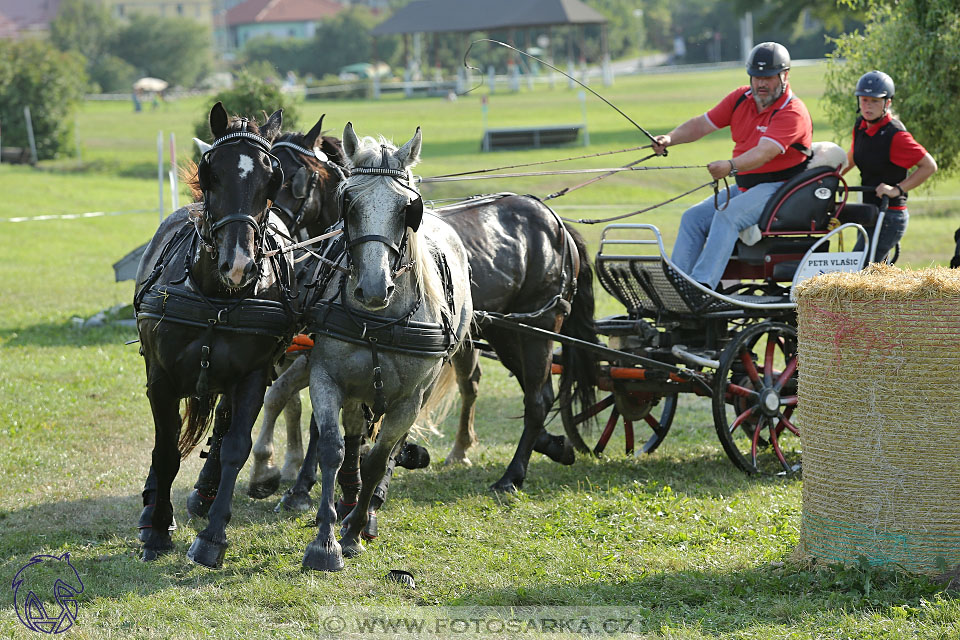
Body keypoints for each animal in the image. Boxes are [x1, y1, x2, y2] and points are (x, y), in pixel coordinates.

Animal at [133, 102, 294, 568]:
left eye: (271, 178)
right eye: (212, 172)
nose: (238, 265)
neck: (216, 298)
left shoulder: (253, 375)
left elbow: (237, 447)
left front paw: (212, 537)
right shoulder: (161, 378)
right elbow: (166, 451)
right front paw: (156, 530)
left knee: (221, 428)